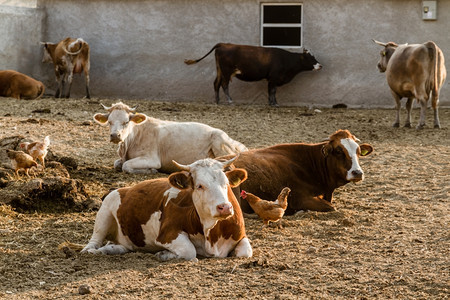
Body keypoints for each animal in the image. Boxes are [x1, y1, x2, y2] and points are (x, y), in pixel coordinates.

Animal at [80, 157, 253, 260]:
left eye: (226, 183)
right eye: (199, 186)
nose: (224, 207)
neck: (212, 232)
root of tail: (124, 188)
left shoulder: (241, 236)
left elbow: (245, 252)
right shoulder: (167, 234)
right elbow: (189, 251)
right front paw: (163, 253)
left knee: (121, 246)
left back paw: (110, 249)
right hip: (104, 212)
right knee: (95, 239)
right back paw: (92, 250)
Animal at [93, 102, 248, 175]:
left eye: (126, 122)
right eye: (109, 122)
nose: (115, 136)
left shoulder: (152, 159)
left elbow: (126, 166)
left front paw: (151, 171)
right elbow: (117, 164)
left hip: (219, 143)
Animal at [185, 42, 322, 106]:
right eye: (310, 58)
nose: (320, 65)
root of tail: (224, 44)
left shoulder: (272, 79)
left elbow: (272, 91)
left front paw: (273, 102)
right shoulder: (273, 78)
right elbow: (272, 91)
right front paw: (274, 103)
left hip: (220, 71)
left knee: (216, 83)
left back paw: (217, 101)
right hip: (226, 71)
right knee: (224, 84)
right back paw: (230, 101)